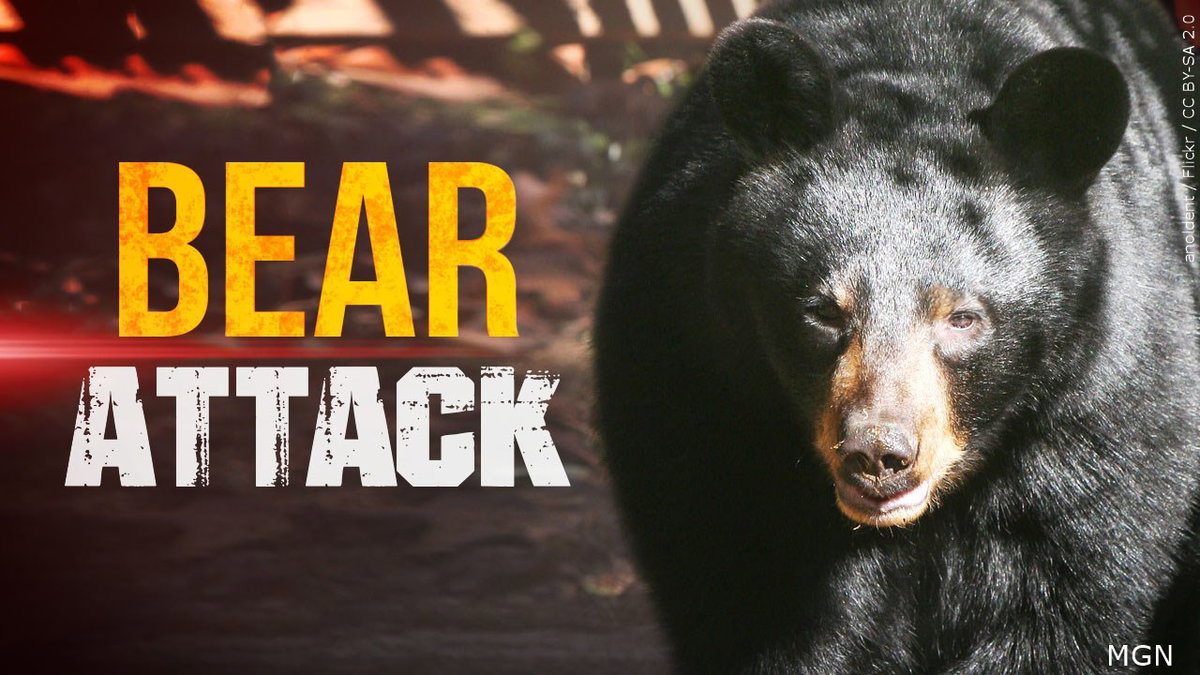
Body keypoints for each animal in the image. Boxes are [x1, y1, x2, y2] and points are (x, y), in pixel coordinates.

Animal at [593, 0, 1200, 672]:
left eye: (962, 317)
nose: (879, 454)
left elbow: (1070, 590)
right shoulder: (698, 377)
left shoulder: (1102, 405)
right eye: (824, 312)